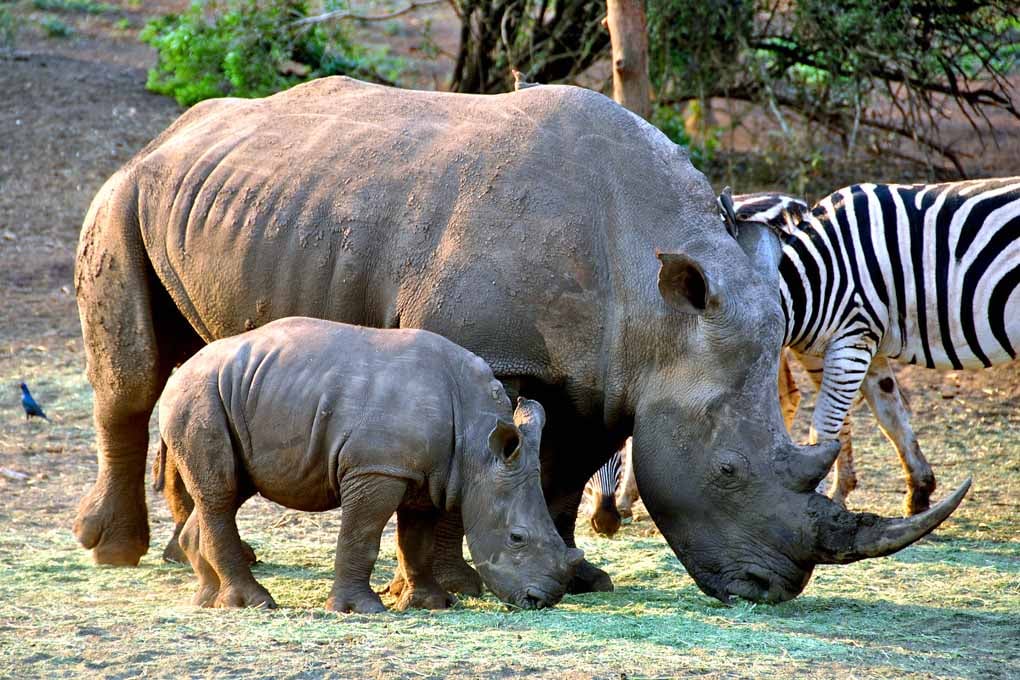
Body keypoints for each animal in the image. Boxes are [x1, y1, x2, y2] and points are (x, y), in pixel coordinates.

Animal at [154, 317, 579, 611]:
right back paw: (254, 603)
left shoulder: (427, 473)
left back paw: (207, 600)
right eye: (517, 537)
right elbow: (362, 535)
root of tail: (181, 370)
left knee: (230, 489)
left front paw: (433, 604)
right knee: (221, 492)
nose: (543, 600)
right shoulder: (376, 468)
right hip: (199, 395)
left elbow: (416, 541)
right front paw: (360, 610)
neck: (477, 443)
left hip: (240, 393)